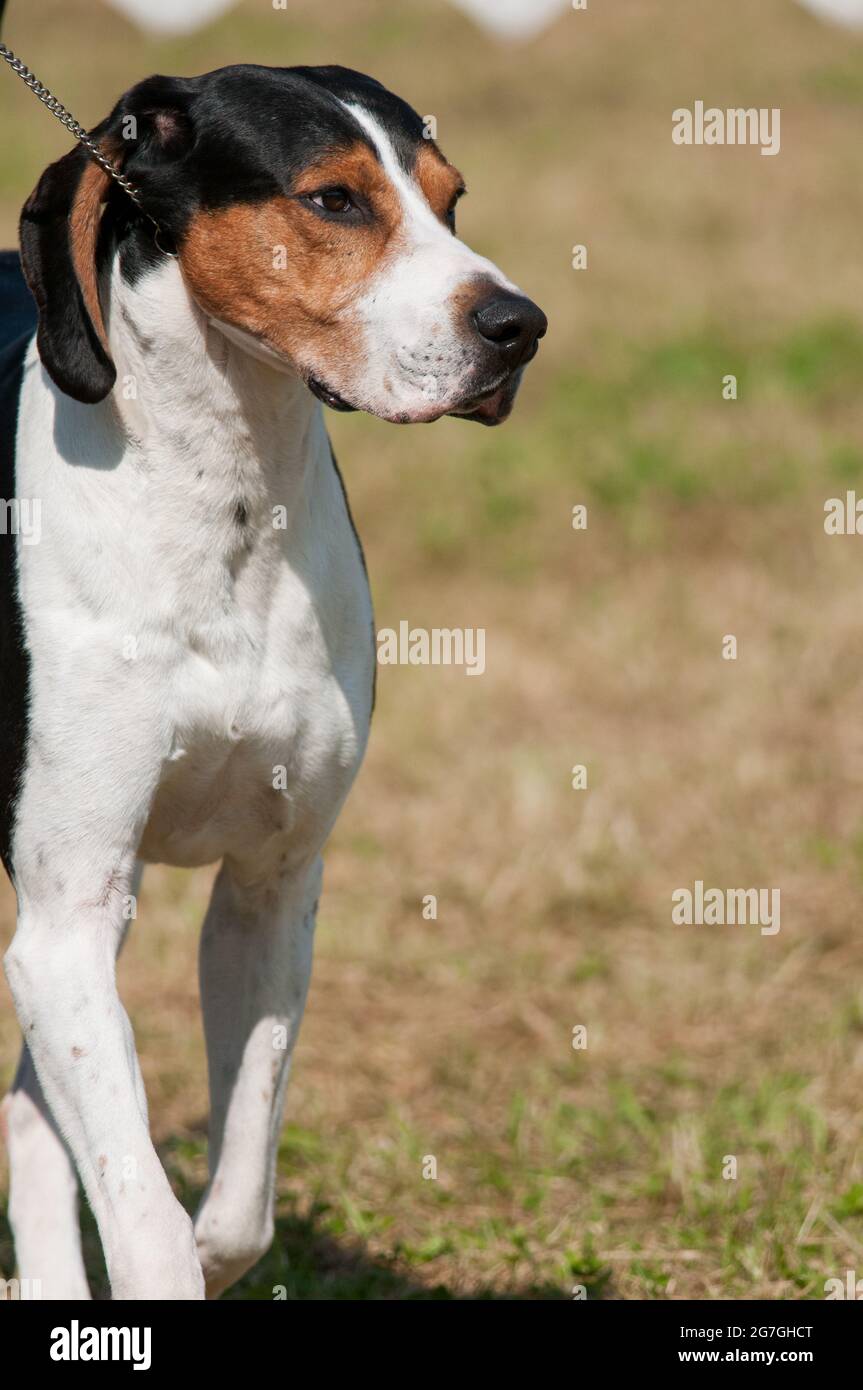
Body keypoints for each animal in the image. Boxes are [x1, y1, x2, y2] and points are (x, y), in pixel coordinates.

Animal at [0, 54, 544, 1295]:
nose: (519, 326)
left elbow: (237, 1198)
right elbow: (145, 1220)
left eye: (450, 200)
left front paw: (216, 1242)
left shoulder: (271, 887)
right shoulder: (64, 912)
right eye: (334, 200)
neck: (221, 488)